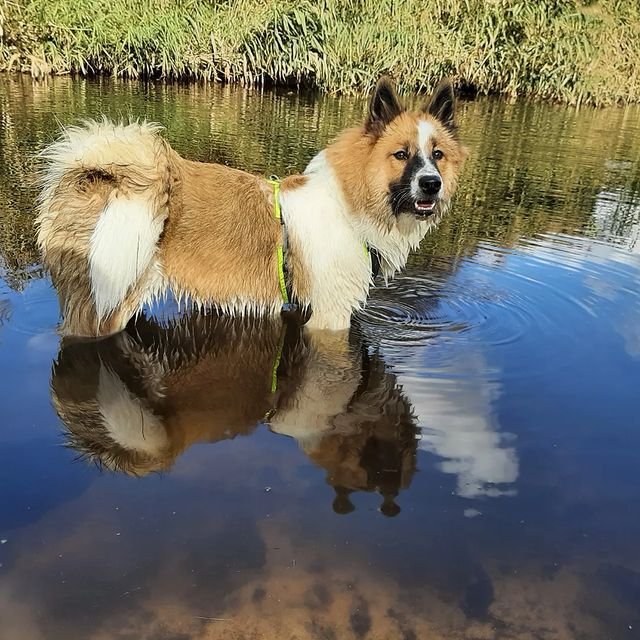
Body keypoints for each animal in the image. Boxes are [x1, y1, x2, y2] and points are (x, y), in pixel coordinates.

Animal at [36, 76, 464, 336]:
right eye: (401, 154)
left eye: (438, 155)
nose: (432, 184)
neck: (348, 206)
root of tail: (94, 172)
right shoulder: (329, 317)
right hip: (108, 303)